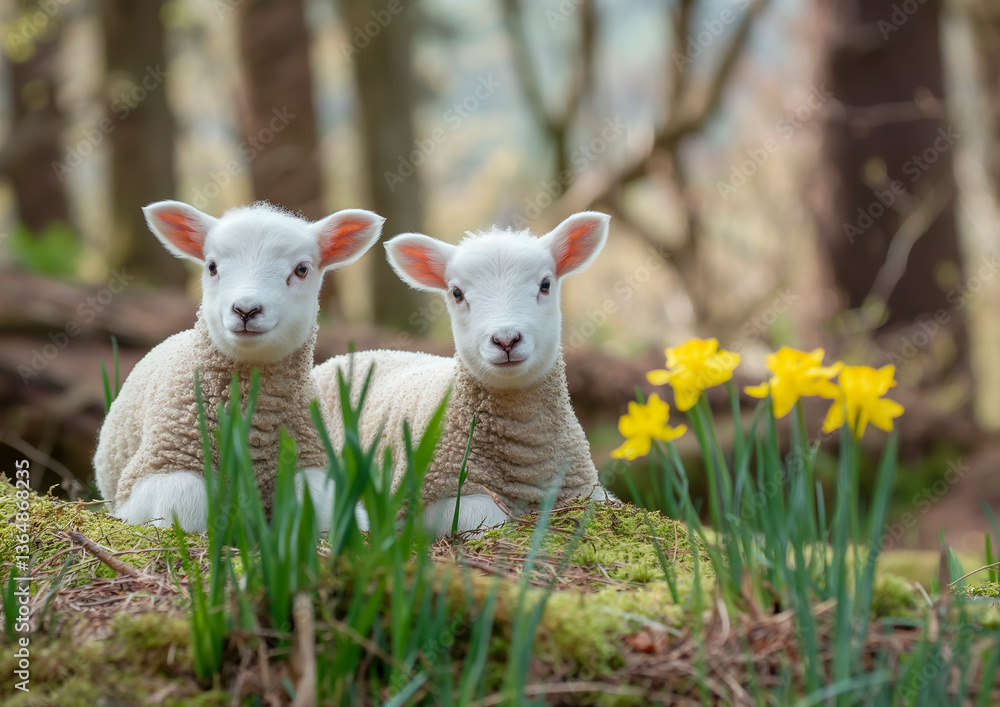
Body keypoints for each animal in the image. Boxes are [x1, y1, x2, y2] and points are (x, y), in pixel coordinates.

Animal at [93, 200, 384, 533]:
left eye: (301, 269)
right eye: (211, 266)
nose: (246, 310)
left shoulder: (313, 463)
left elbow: (314, 512)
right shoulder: (162, 463)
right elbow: (184, 504)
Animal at [313, 211, 613, 535]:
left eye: (545, 284)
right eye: (456, 293)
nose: (506, 340)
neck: (524, 451)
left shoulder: (586, 488)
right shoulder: (427, 504)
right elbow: (490, 514)